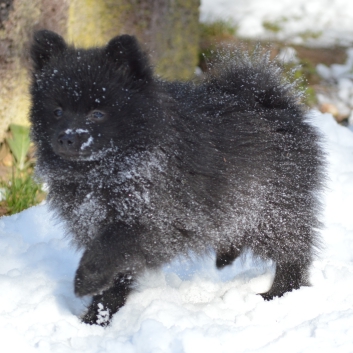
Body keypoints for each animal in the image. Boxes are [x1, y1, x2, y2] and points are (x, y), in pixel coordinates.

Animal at [29, 29, 324, 324]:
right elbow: (115, 272)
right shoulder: (93, 221)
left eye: (97, 113)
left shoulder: (157, 218)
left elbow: (110, 247)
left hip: (273, 210)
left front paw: (87, 280)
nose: (66, 137)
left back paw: (280, 292)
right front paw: (96, 319)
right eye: (57, 111)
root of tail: (271, 99)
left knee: (292, 251)